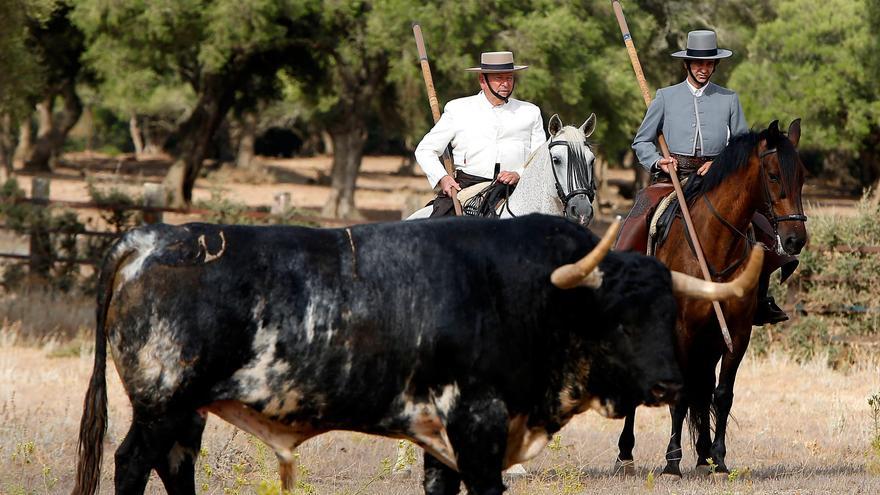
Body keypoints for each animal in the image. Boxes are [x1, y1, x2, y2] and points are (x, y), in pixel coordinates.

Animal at [74, 215, 748, 494]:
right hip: (161, 403)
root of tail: (149, 238)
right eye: (619, 316)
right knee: (131, 464)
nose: (667, 385)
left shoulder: (440, 438)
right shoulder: (477, 426)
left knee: (175, 466)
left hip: (187, 411)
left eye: (667, 312)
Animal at [616, 119, 808, 476]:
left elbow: (722, 394)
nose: (794, 240)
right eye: (774, 175)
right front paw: (672, 461)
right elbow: (681, 393)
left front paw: (717, 458)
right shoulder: (681, 330)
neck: (712, 244)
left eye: (802, 176)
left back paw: (703, 454)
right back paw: (625, 453)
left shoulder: (735, 333)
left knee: (703, 387)